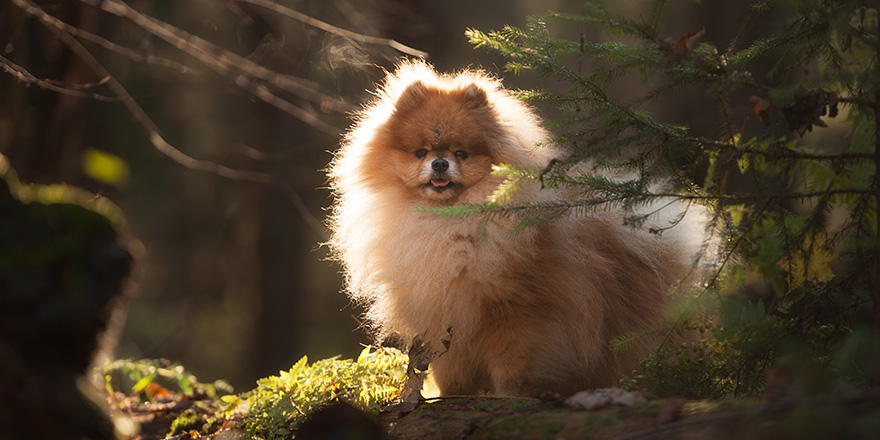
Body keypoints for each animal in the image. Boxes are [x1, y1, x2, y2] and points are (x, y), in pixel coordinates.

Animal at [328, 60, 700, 398]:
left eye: (461, 153)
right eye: (421, 152)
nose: (439, 163)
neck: (448, 224)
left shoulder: (518, 315)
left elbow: (513, 362)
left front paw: (511, 394)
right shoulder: (444, 312)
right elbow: (450, 370)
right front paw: (450, 396)